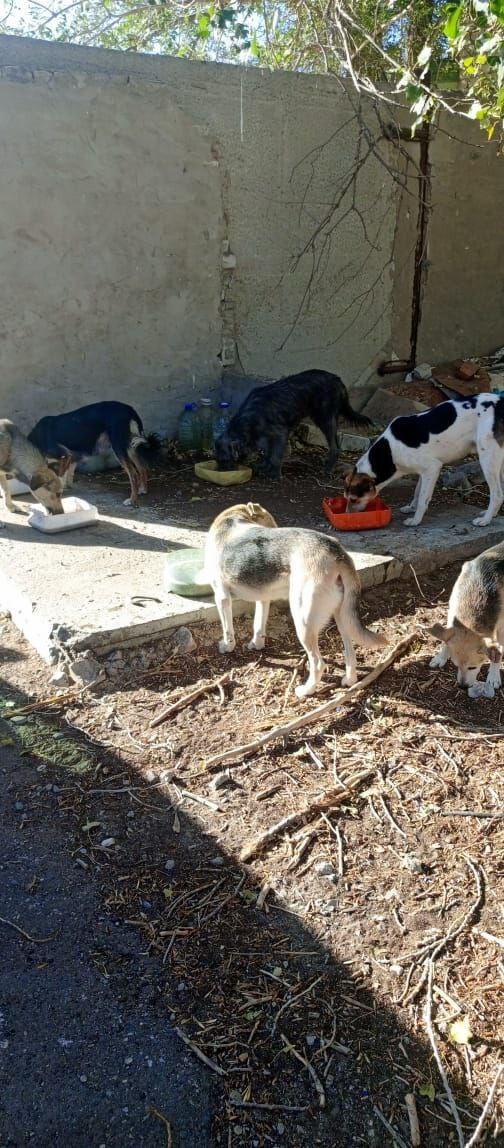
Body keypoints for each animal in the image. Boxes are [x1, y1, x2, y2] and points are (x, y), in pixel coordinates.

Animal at [29, 404, 159, 512]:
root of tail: (130, 410)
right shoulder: (71, 456)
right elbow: (68, 473)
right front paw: (66, 486)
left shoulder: (64, 456)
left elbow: (61, 475)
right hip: (130, 446)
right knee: (142, 467)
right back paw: (143, 489)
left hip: (118, 446)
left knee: (133, 473)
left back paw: (132, 500)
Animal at [214, 365, 371, 477]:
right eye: (218, 460)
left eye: (225, 460)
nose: (221, 472)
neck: (250, 416)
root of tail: (337, 379)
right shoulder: (267, 436)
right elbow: (268, 452)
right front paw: (264, 467)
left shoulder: (280, 432)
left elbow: (275, 454)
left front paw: (273, 473)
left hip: (325, 418)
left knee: (335, 446)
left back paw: (328, 468)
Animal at [344, 390, 504, 525]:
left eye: (354, 499)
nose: (347, 516)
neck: (389, 454)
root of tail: (500, 403)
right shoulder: (424, 472)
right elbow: (417, 492)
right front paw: (411, 508)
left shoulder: (432, 468)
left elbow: (423, 499)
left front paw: (415, 520)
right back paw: (491, 514)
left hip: (487, 459)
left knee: (497, 494)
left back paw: (485, 520)